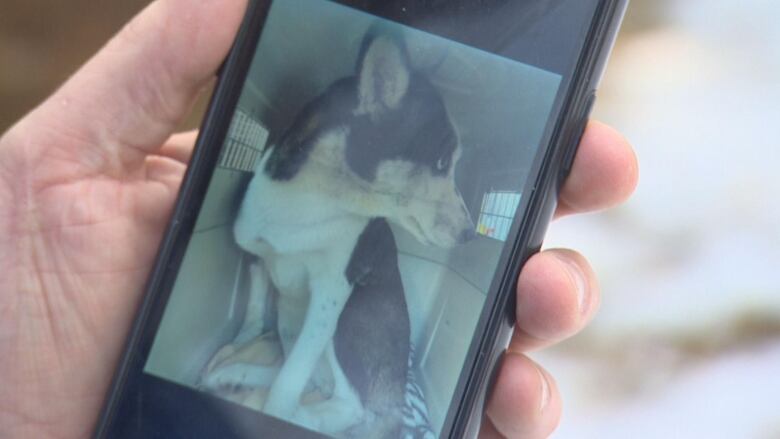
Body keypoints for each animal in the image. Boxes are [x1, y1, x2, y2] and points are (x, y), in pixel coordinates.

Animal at [201, 29, 472, 438]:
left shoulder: (331, 291)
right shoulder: (255, 252)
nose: (471, 234)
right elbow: (254, 315)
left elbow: (288, 384)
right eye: (441, 162)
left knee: (349, 406)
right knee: (310, 379)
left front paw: (275, 409)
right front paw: (238, 344)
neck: (318, 197)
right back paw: (234, 375)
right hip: (291, 318)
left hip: (351, 311)